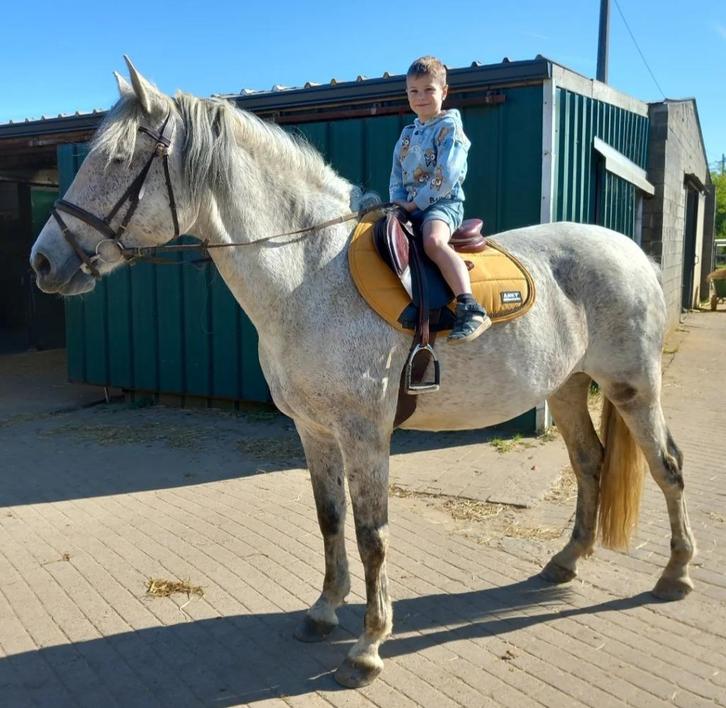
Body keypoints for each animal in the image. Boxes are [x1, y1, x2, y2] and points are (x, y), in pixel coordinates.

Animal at [30, 58, 695, 688]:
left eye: (118, 158)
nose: (42, 262)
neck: (308, 274)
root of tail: (632, 252)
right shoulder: (314, 430)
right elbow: (330, 519)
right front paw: (325, 611)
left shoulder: (365, 434)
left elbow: (373, 533)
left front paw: (368, 647)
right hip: (565, 388)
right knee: (589, 463)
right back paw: (565, 562)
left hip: (633, 387)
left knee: (666, 465)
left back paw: (675, 574)